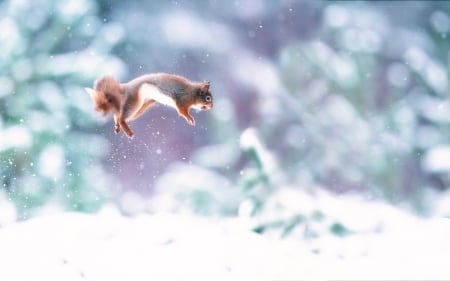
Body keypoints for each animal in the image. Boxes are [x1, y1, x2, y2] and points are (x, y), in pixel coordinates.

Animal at [85, 72, 214, 138]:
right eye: (208, 98)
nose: (212, 106)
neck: (192, 93)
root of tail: (125, 87)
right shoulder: (182, 100)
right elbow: (182, 111)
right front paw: (190, 118)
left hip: (143, 106)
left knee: (118, 114)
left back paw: (117, 126)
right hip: (134, 102)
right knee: (122, 117)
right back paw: (128, 132)